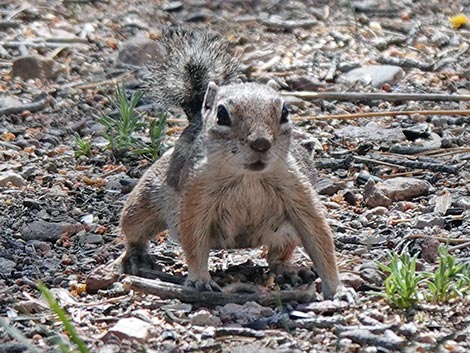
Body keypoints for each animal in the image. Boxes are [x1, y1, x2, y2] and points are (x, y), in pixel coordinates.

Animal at [119, 28, 346, 296]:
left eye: (285, 112)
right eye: (222, 115)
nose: (261, 143)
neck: (248, 176)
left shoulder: (297, 189)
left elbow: (318, 235)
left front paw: (337, 288)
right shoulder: (197, 194)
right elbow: (194, 238)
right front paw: (200, 279)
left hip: (286, 232)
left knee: (276, 256)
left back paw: (289, 269)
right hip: (142, 203)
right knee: (134, 231)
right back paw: (136, 256)